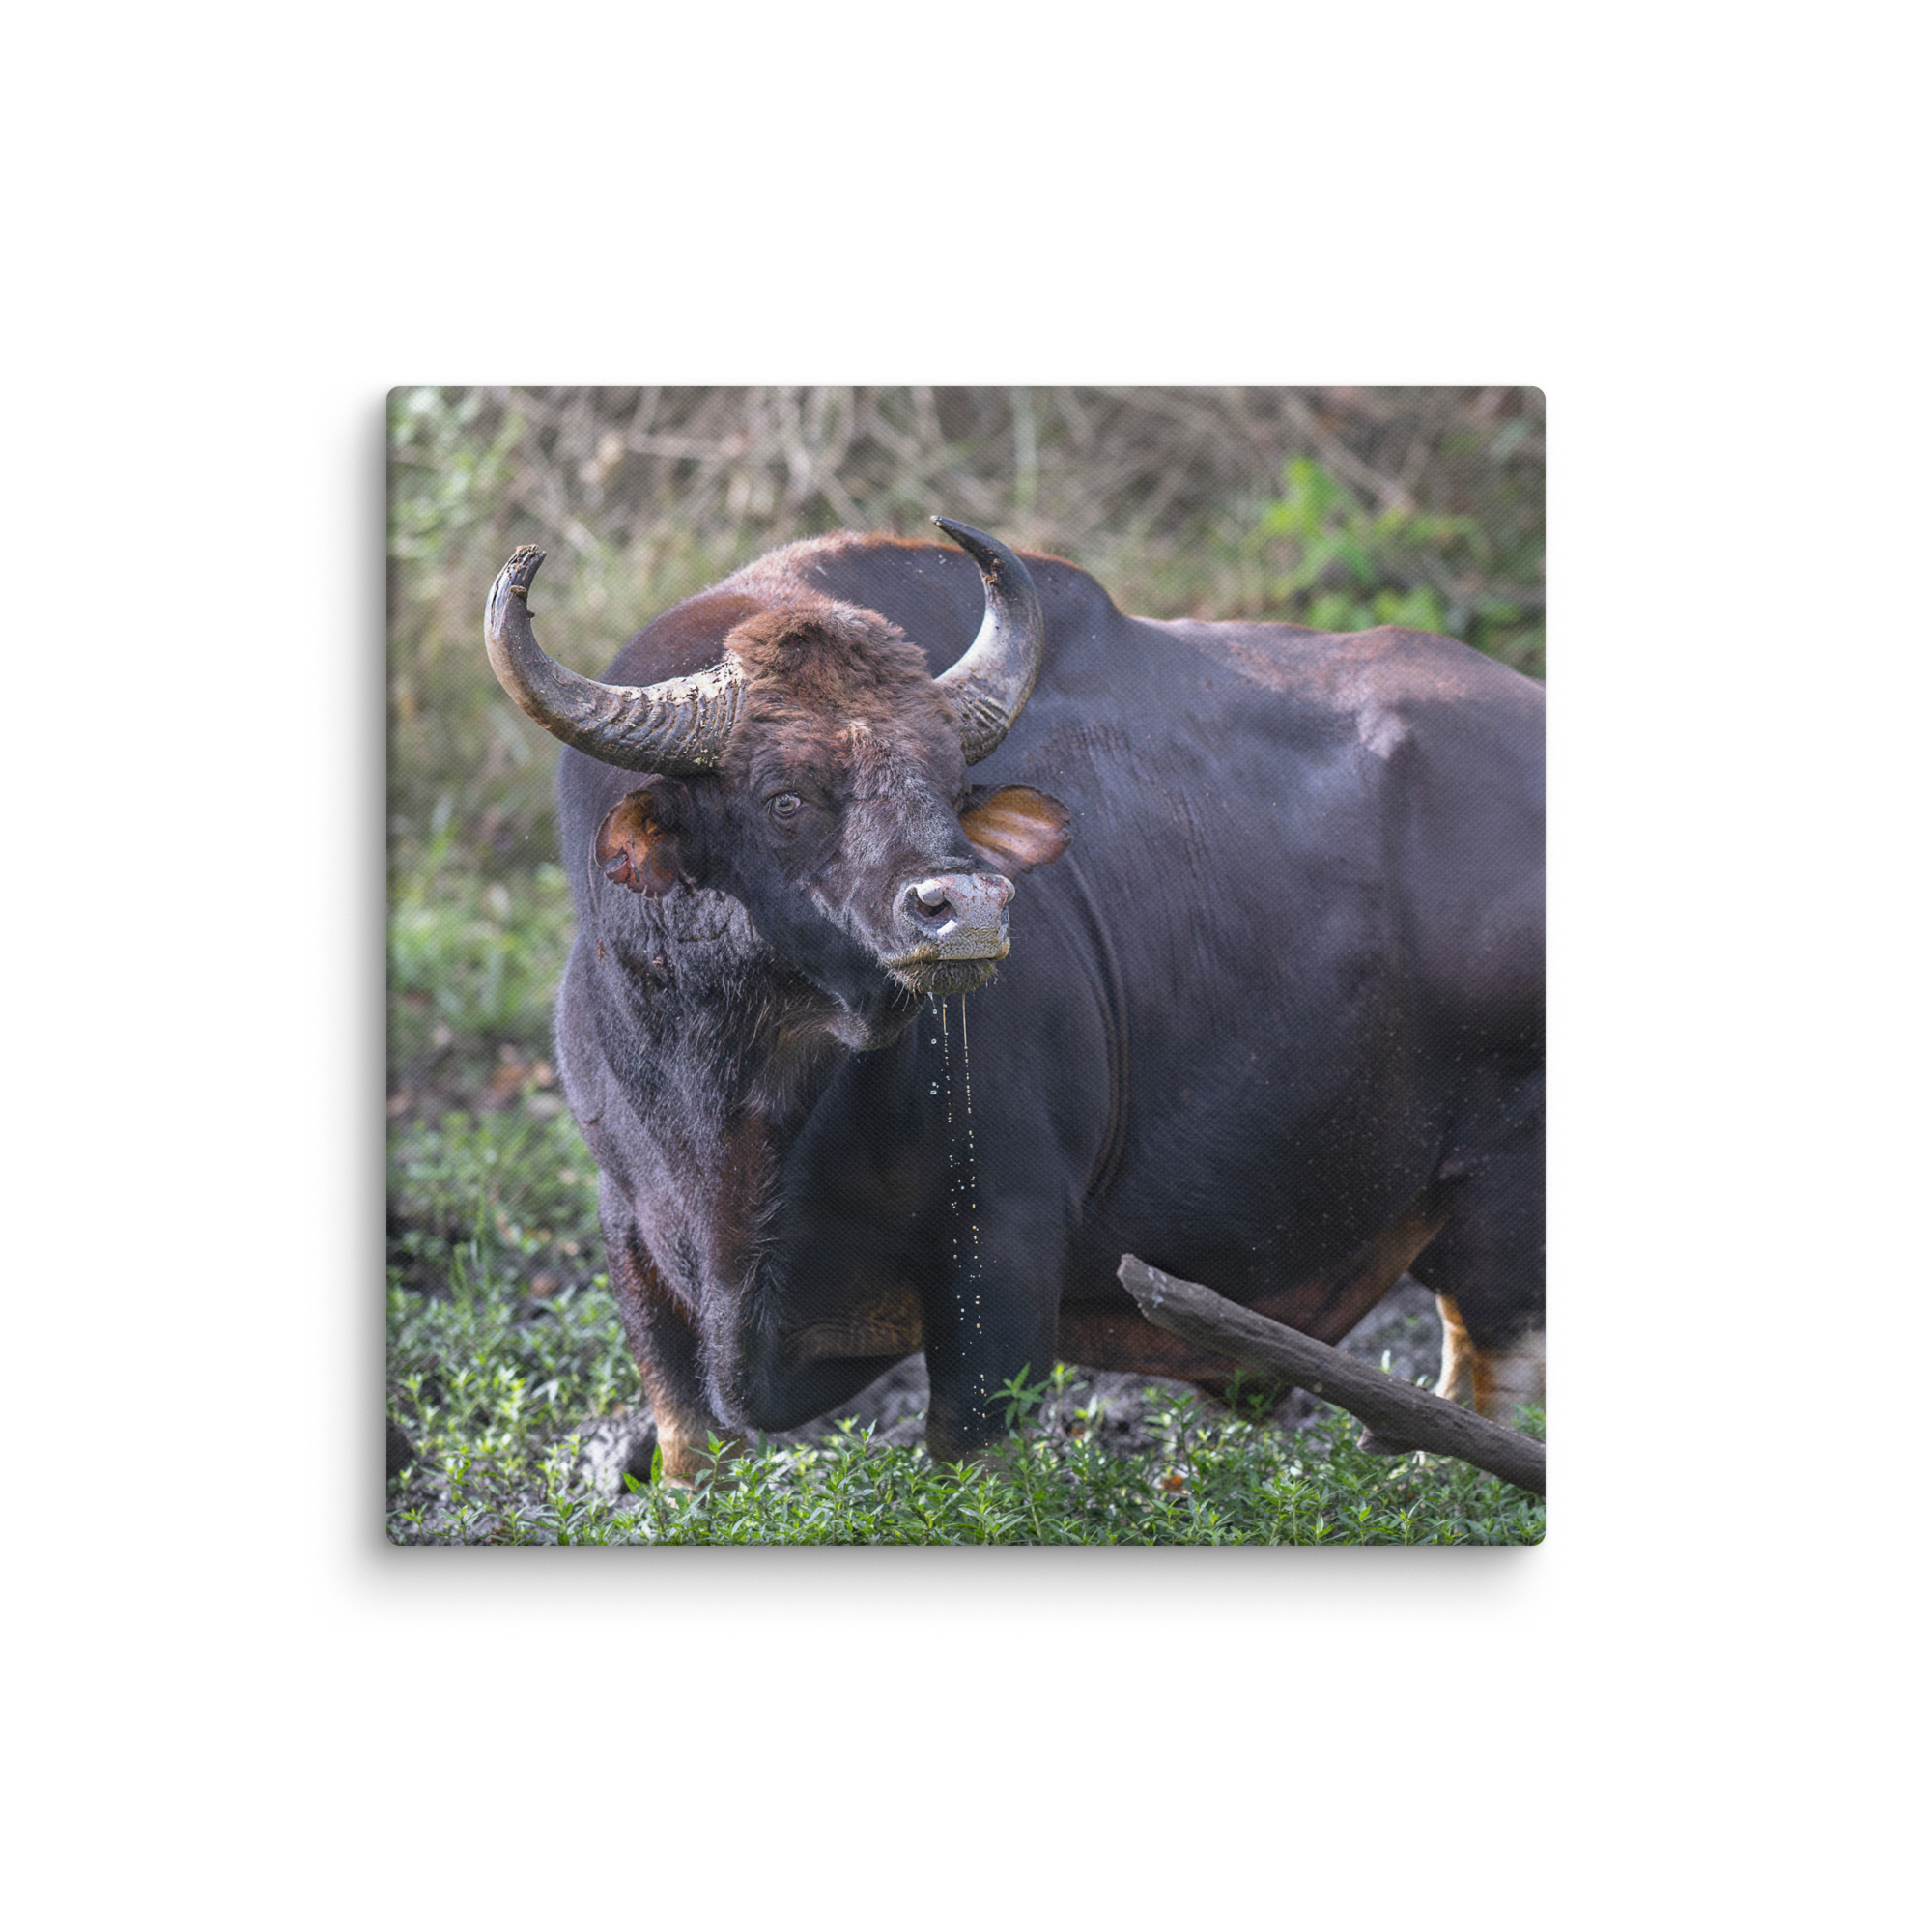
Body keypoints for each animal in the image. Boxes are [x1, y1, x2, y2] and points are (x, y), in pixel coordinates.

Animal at [484, 520, 1543, 1479]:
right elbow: (685, 1438)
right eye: (785, 797)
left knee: (1493, 1361)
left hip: (1505, 1192)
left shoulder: (1003, 1239)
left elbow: (972, 1451)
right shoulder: (630, 1235)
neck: (741, 1097)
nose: (966, 909)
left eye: (953, 785)